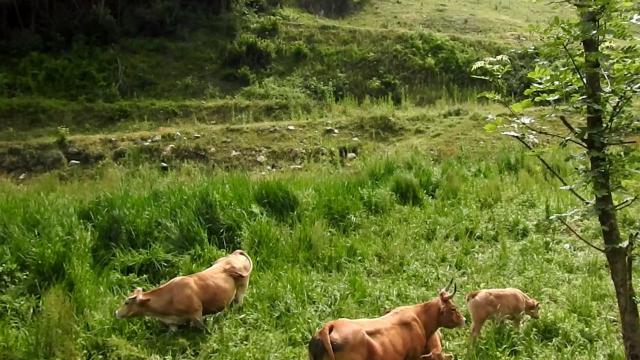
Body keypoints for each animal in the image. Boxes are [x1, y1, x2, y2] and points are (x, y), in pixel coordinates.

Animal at [114, 249, 254, 330]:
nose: (116, 312)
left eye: (126, 302)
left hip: (242, 286)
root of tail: (235, 253)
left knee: (238, 302)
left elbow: (202, 329)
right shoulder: (173, 323)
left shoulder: (197, 314)